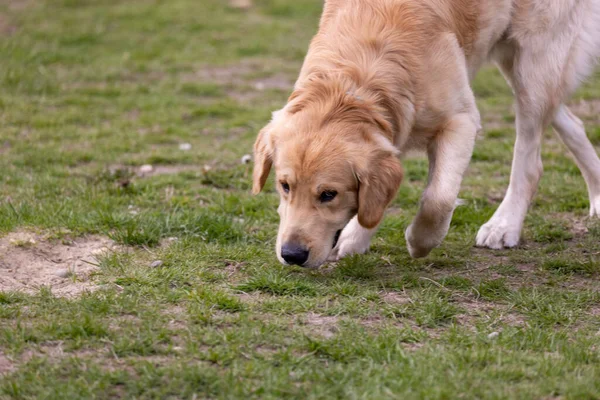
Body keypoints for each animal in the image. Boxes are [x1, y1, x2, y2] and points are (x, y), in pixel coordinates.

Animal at [251, 0, 600, 268]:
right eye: (284, 186)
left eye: (328, 194)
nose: (291, 255)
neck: (357, 81)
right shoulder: (394, 133)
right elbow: (381, 194)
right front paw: (356, 237)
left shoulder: (460, 120)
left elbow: (438, 198)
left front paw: (419, 241)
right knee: (571, 121)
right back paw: (597, 196)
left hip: (534, 65)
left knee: (530, 160)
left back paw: (504, 225)